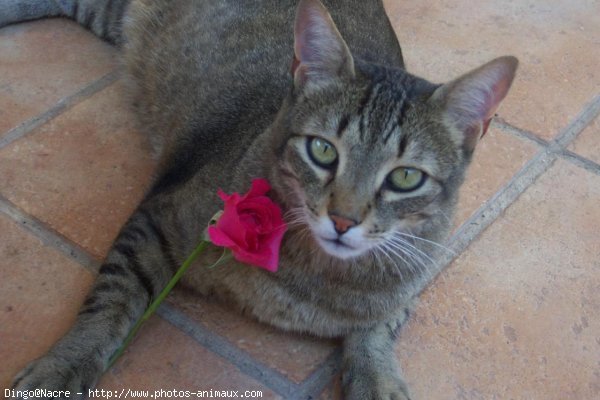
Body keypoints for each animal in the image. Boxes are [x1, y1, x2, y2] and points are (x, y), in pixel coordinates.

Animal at [2, 0, 516, 400]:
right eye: (323, 150)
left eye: (405, 177)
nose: (343, 220)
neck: (317, 277)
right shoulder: (159, 215)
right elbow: (111, 301)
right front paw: (63, 367)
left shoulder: (409, 281)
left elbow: (377, 329)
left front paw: (378, 378)